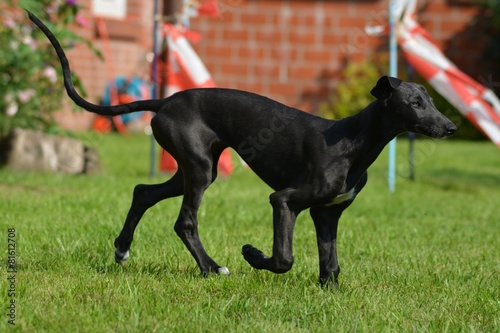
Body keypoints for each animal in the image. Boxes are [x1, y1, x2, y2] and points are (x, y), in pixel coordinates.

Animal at [28, 10, 458, 286]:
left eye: (429, 100)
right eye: (414, 103)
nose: (452, 126)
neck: (355, 142)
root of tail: (167, 101)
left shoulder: (327, 213)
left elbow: (330, 264)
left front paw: (329, 292)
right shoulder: (284, 201)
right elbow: (284, 258)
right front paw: (253, 255)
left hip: (193, 167)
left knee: (143, 192)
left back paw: (122, 250)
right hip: (199, 170)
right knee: (184, 222)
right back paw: (211, 269)